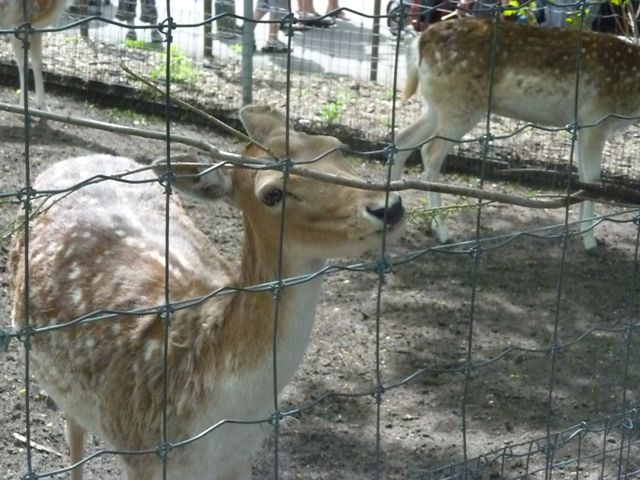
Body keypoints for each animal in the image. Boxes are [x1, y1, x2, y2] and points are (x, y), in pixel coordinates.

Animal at [9, 104, 405, 480]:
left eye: (336, 147)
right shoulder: (141, 455)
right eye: (272, 193)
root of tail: (73, 159)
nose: (389, 207)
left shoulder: (244, 456)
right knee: (73, 435)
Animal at [391, 17, 640, 250]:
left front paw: (581, 231)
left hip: (435, 105)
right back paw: (443, 231)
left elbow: (582, 177)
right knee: (430, 152)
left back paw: (393, 207)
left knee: (402, 139)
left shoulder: (582, 124)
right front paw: (590, 239)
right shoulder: (596, 118)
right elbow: (593, 178)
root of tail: (420, 40)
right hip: (460, 106)